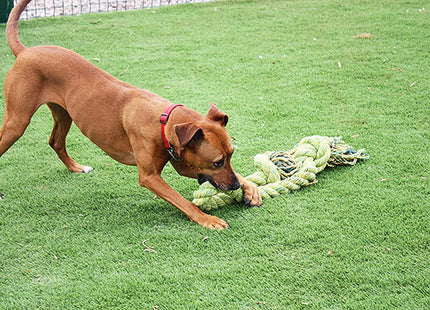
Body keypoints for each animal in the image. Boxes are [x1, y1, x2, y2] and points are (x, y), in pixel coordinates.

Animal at [0, 0, 262, 228]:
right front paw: (207, 219)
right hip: (17, 122)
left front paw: (250, 188)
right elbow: (182, 200)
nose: (234, 186)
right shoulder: (149, 176)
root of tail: (25, 52)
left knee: (55, 141)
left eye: (231, 155)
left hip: (65, 114)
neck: (162, 121)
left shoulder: (185, 164)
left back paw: (76, 168)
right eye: (217, 162)